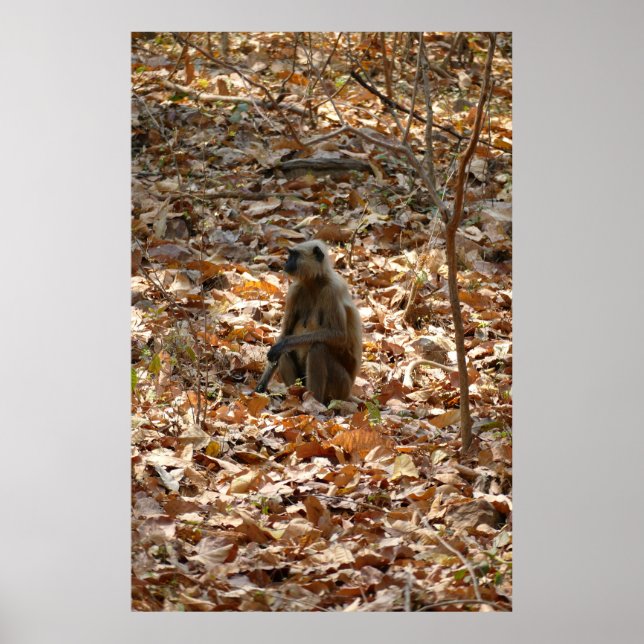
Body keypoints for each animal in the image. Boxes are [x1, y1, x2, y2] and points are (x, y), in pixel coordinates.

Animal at [255, 240, 362, 404]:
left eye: (294, 255)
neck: (315, 282)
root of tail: (348, 392)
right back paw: (294, 395)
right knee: (284, 353)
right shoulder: (294, 291)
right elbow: (284, 335)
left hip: (341, 387)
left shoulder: (332, 290)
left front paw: (284, 343)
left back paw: (313, 401)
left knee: (317, 348)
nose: (286, 262)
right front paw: (260, 388)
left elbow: (339, 335)